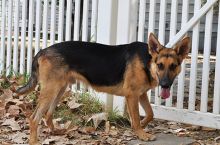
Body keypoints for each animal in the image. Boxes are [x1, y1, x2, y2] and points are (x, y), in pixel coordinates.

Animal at [16, 33, 190, 144]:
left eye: (173, 66)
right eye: (160, 65)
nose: (165, 84)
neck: (147, 61)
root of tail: (42, 50)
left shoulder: (141, 95)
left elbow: (150, 114)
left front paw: (141, 126)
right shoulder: (132, 95)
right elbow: (137, 118)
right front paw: (141, 134)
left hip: (59, 89)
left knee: (48, 114)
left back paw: (56, 132)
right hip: (51, 90)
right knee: (34, 118)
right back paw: (34, 141)